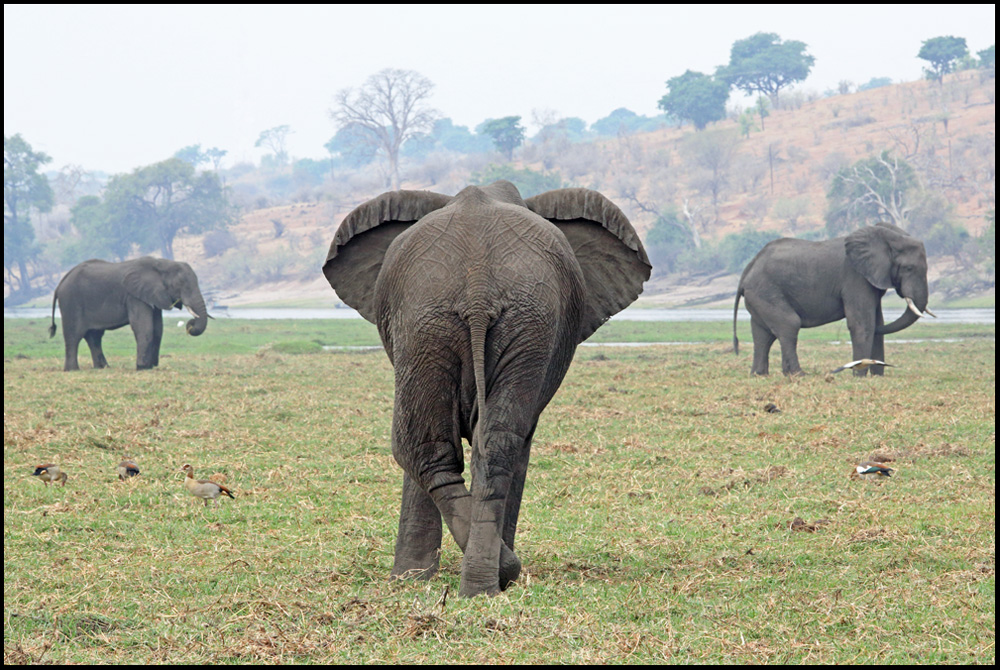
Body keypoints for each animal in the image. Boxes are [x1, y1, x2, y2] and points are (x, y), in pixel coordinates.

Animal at [50, 258, 209, 372]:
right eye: (181, 284)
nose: (190, 324)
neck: (162, 263)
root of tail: (60, 284)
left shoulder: (152, 296)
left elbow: (158, 329)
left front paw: (150, 366)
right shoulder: (135, 296)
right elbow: (144, 327)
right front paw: (142, 368)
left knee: (94, 336)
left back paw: (103, 368)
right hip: (71, 302)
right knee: (74, 336)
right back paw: (72, 370)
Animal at [320, 180, 648, 600]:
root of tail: (478, 288)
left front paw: (412, 579)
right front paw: (413, 580)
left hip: (485, 322)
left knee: (441, 447)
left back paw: (488, 580)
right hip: (451, 320)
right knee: (472, 445)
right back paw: (488, 579)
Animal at [732, 222, 932, 376]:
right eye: (909, 268)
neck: (886, 236)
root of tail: (747, 270)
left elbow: (877, 321)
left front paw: (877, 377)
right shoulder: (855, 277)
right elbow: (862, 323)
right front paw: (859, 376)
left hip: (759, 296)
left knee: (762, 335)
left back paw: (759, 375)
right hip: (765, 291)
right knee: (789, 324)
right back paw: (799, 375)